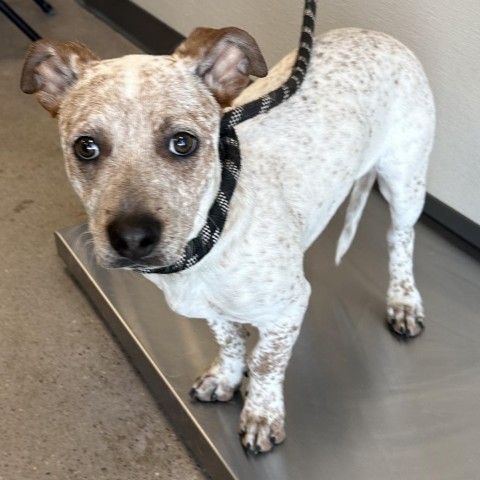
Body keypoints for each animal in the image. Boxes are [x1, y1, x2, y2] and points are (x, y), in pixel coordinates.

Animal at [21, 25, 436, 454]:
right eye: (86, 147)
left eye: (183, 142)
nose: (133, 239)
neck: (209, 238)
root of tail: (373, 32)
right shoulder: (214, 309)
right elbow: (229, 339)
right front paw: (227, 375)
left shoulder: (290, 307)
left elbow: (268, 363)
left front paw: (262, 413)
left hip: (405, 184)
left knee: (399, 240)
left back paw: (404, 301)